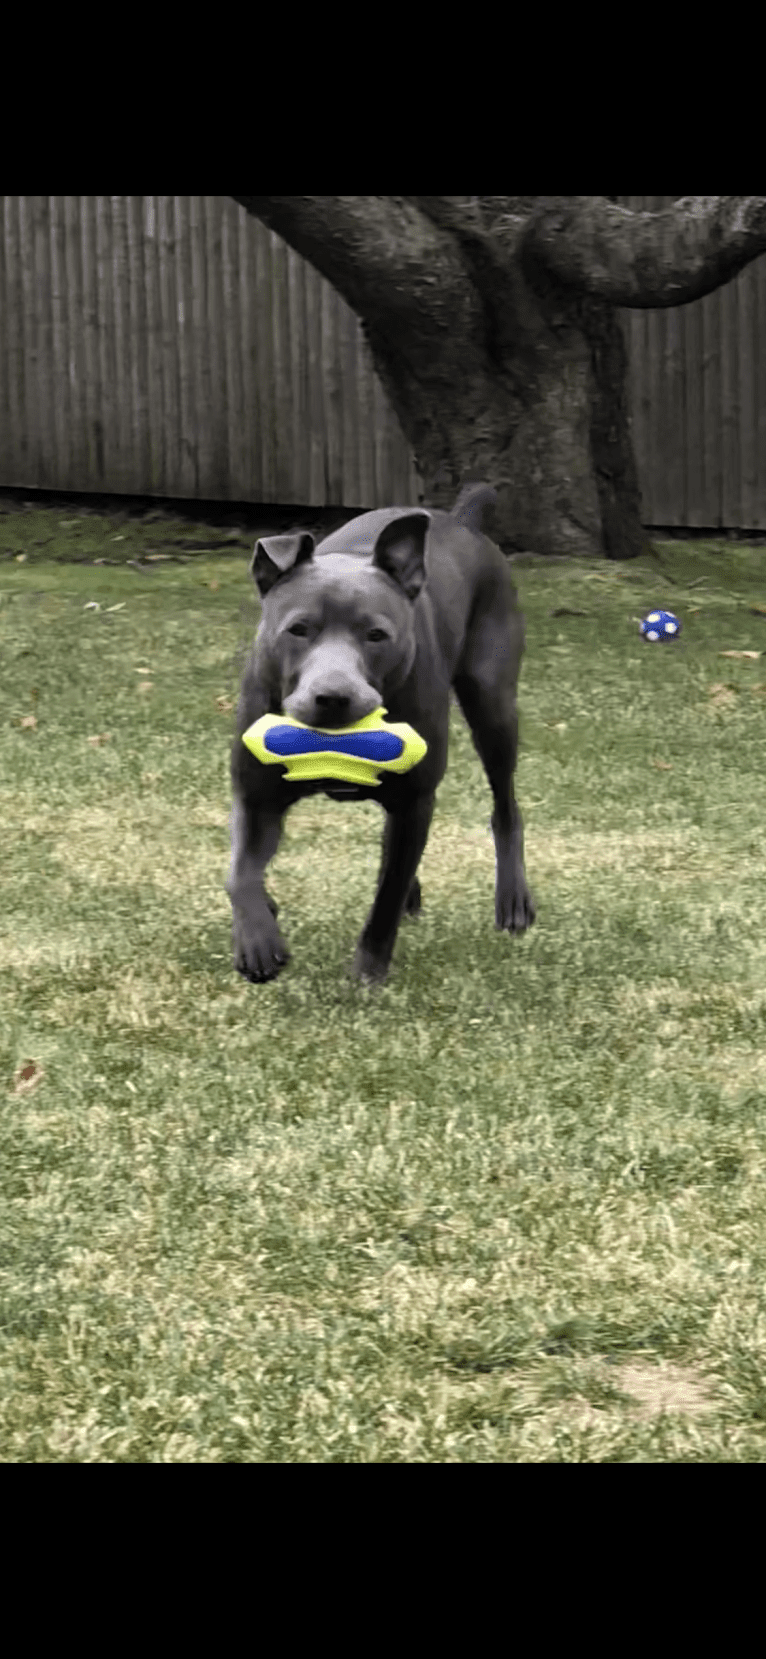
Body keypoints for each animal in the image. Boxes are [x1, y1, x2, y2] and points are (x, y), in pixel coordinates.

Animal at [228, 484, 533, 982]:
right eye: (298, 629)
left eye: (376, 634)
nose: (333, 697)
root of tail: (462, 520)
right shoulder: (256, 795)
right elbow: (239, 873)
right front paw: (258, 938)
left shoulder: (414, 801)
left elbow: (386, 896)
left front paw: (367, 973)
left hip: (492, 705)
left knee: (505, 807)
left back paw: (513, 900)